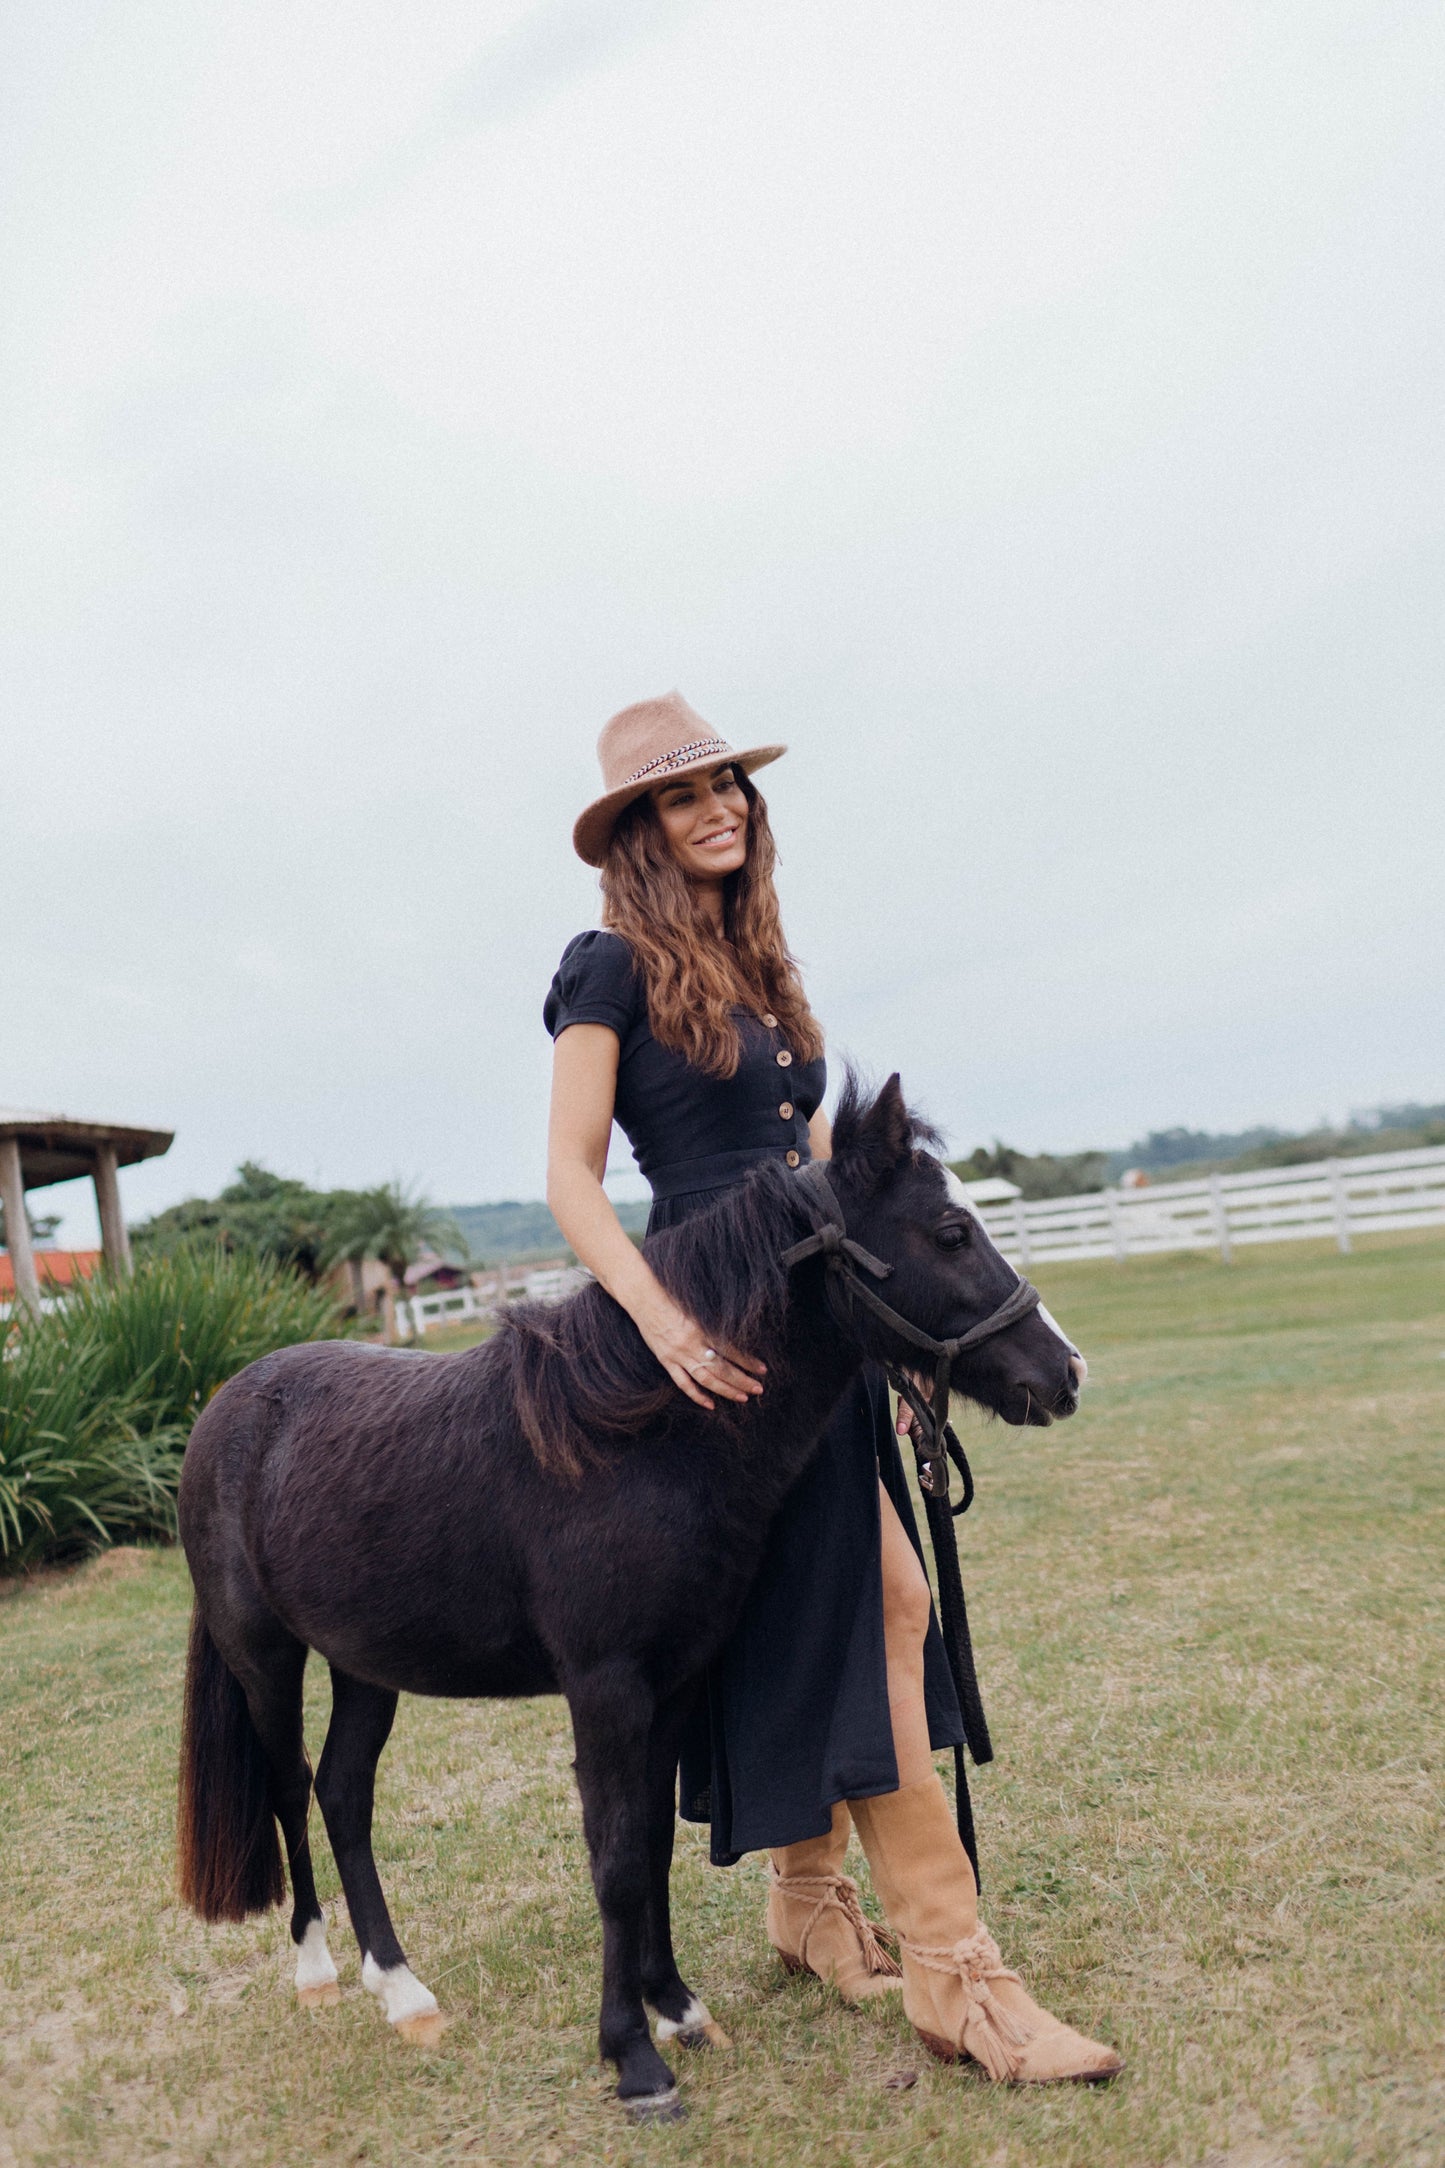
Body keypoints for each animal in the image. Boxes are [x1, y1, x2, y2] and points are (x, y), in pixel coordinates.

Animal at [177, 1075, 1083, 2124]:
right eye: (948, 1232)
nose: (1063, 1375)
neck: (638, 1434)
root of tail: (225, 1407)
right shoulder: (605, 1688)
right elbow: (612, 1859)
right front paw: (634, 2060)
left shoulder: (677, 1677)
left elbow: (648, 1841)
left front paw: (677, 2009)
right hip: (265, 1656)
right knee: (291, 1788)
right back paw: (321, 1974)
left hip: (368, 1664)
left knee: (343, 1793)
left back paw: (402, 1991)